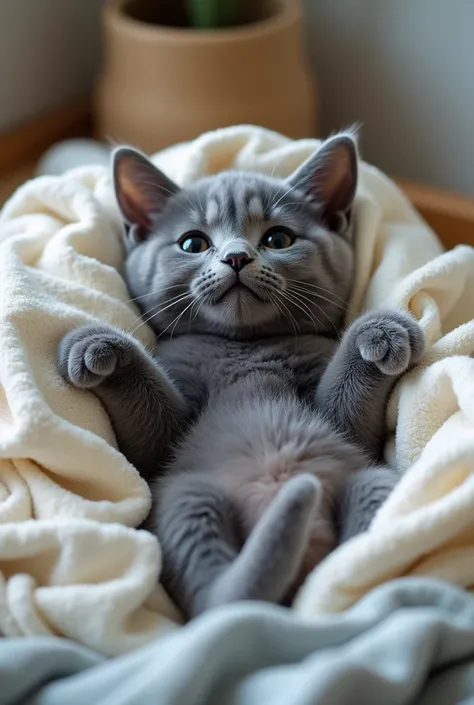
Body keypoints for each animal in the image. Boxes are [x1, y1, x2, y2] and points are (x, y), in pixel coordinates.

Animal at [57, 135, 424, 620]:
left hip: (372, 480)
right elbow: (149, 428)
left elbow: (350, 412)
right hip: (185, 495)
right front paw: (98, 344)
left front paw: (381, 330)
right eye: (193, 243)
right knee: (216, 596)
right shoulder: (162, 445)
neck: (245, 347)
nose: (236, 257)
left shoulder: (345, 420)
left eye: (278, 238)